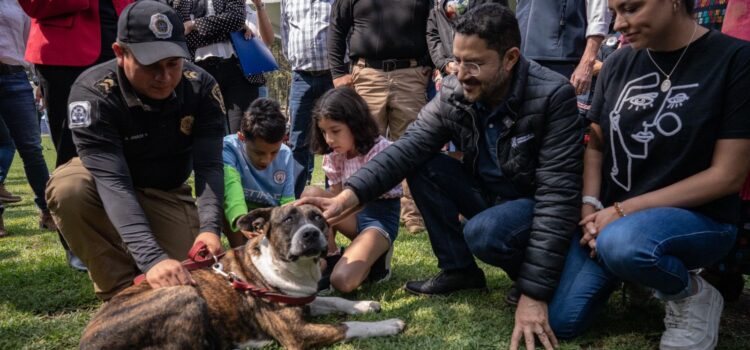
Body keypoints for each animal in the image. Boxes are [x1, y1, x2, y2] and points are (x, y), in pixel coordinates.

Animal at [80, 205, 406, 350]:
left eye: (318, 218)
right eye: (288, 220)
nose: (311, 234)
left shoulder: (301, 299)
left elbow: (335, 301)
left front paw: (364, 305)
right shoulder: (296, 334)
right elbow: (349, 326)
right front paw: (388, 324)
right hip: (184, 293)